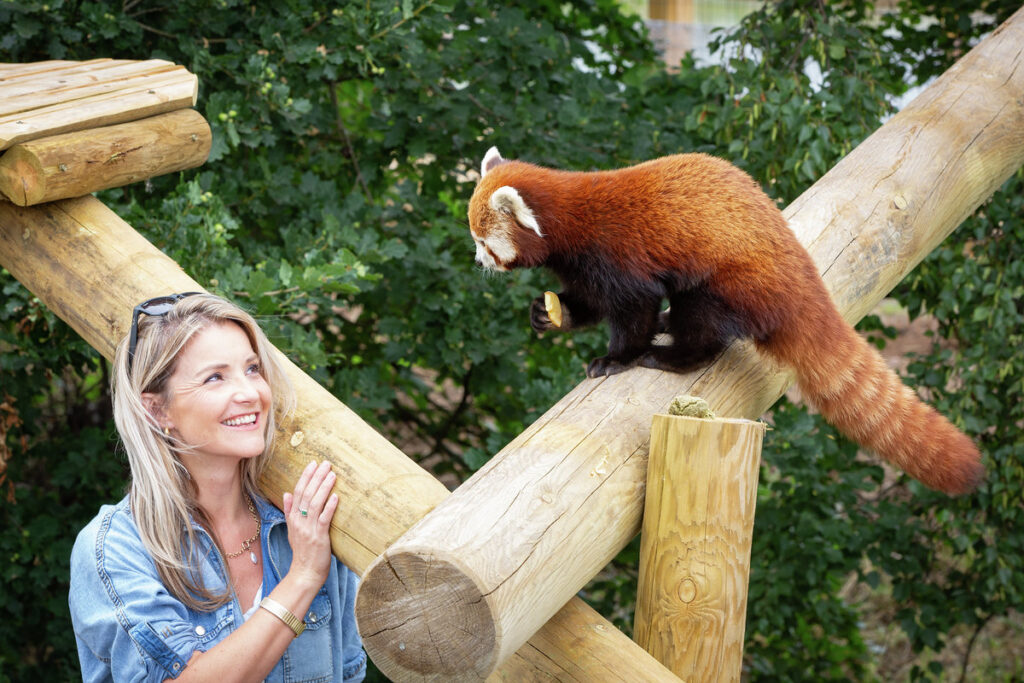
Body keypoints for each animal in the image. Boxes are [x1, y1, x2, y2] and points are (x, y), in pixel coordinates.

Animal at [468, 147, 983, 493]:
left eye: (483, 242)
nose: (477, 262)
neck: (571, 219)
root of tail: (801, 280)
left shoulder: (616, 255)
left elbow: (633, 308)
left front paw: (615, 359)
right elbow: (588, 303)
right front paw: (546, 314)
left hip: (726, 284)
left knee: (705, 327)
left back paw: (671, 355)